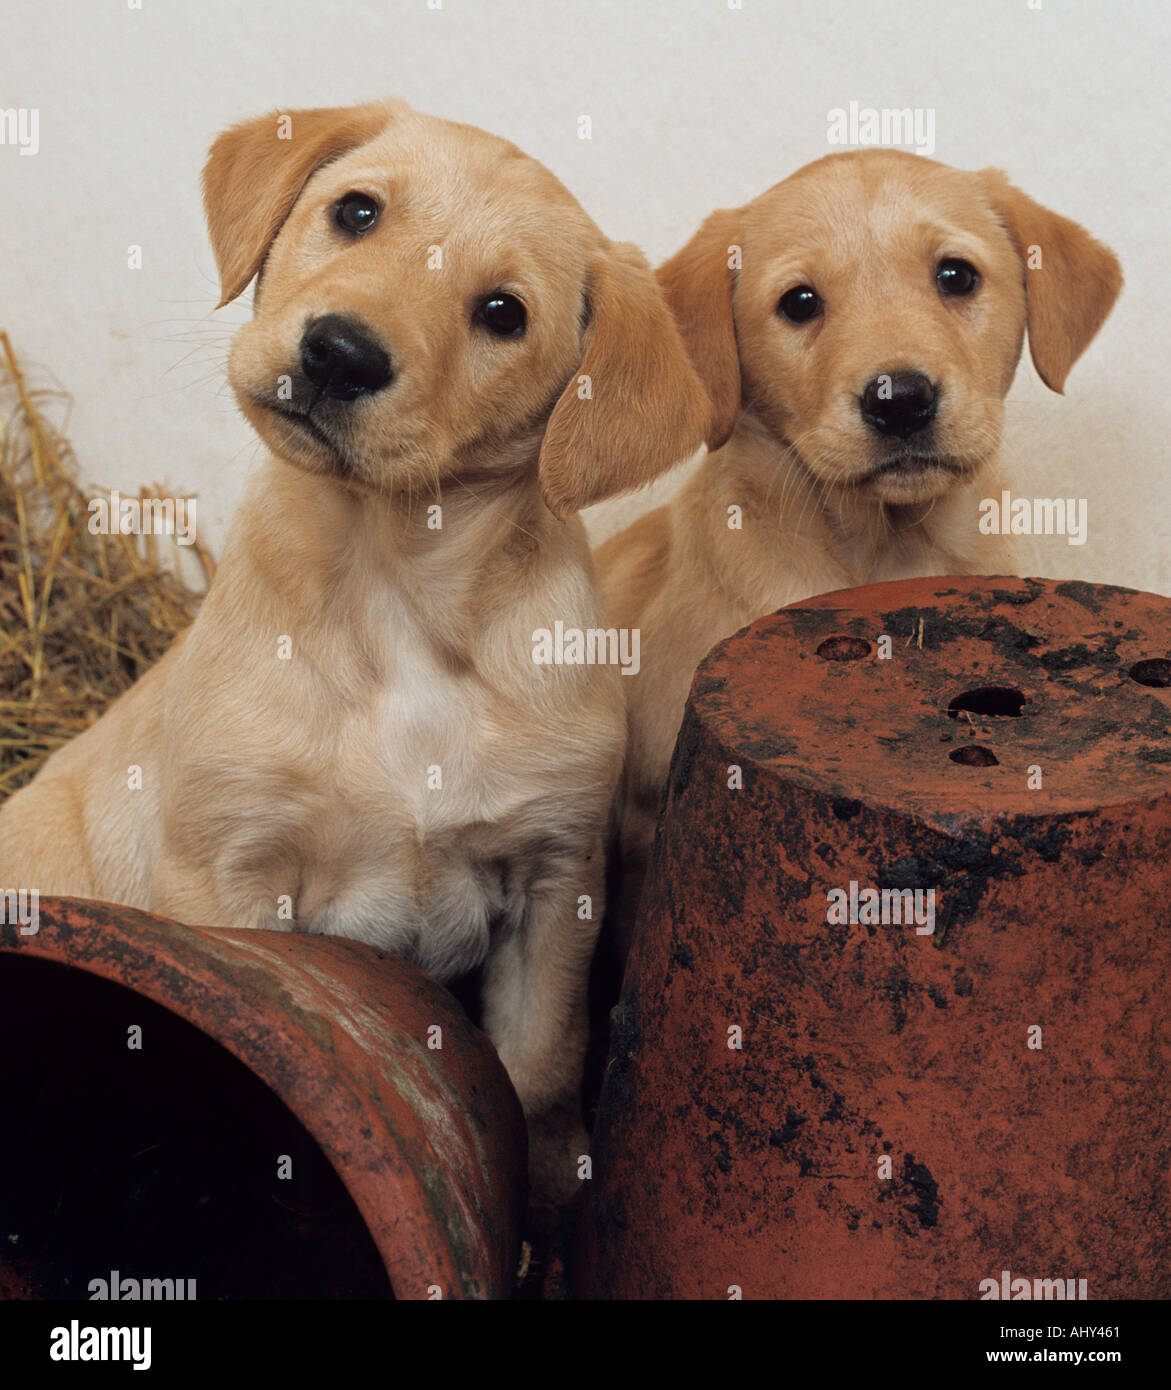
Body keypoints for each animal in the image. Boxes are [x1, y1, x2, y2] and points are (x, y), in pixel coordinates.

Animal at [0, 97, 706, 1206]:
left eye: (502, 313)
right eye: (356, 212)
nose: (339, 353)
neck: (393, 593)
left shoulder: (556, 879)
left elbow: (542, 1068)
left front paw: (552, 1195)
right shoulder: (227, 875)